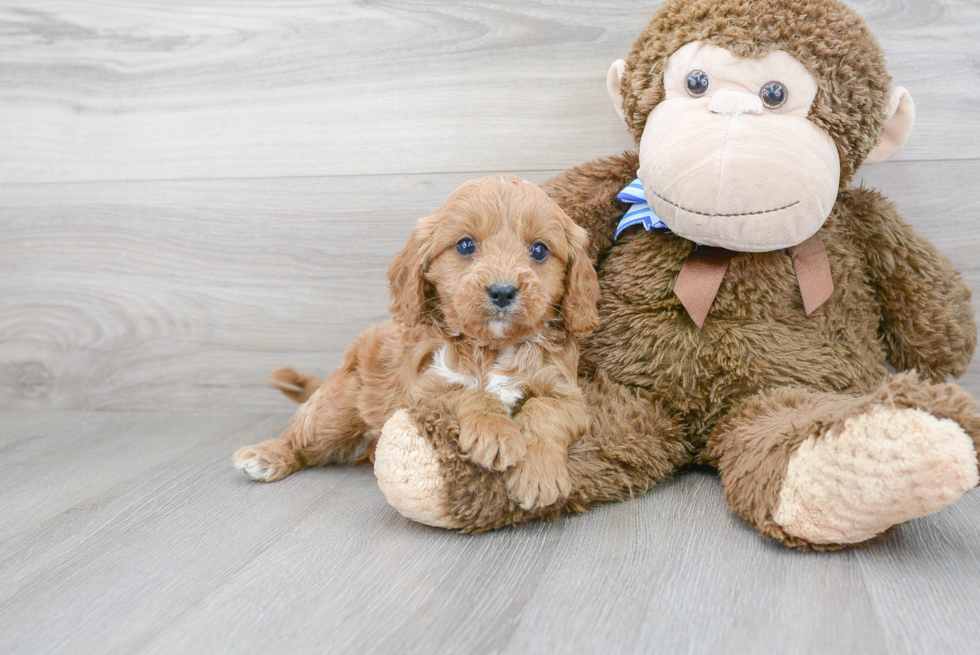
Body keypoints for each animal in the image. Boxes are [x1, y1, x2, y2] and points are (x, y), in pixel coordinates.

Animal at [234, 177, 600, 510]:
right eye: (465, 245)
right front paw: (495, 431)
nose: (503, 291)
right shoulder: (422, 393)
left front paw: (537, 476)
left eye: (539, 250)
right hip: (338, 406)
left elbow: (544, 410)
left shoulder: (570, 396)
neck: (491, 347)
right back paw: (266, 455)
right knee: (302, 436)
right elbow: (468, 392)